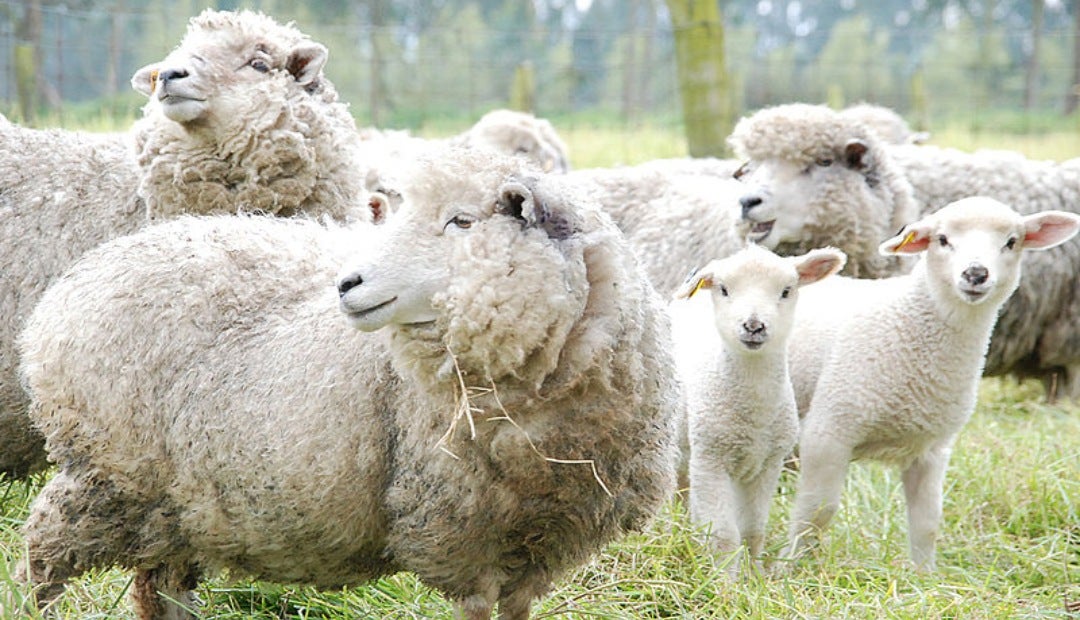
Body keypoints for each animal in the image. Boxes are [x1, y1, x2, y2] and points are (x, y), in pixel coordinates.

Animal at [14, 149, 673, 620]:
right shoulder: (459, 528)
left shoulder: (543, 537)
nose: (347, 282)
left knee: (161, 585)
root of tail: (75, 283)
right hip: (108, 472)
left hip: (175, 504)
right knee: (42, 554)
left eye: (461, 221)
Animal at [669, 244, 846, 578]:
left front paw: (754, 575)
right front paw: (723, 581)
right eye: (724, 289)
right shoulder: (712, 459)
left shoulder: (767, 464)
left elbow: (753, 529)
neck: (755, 415)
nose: (753, 325)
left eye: (786, 291)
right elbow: (723, 533)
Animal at [786, 198, 1080, 574]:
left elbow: (927, 522)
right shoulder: (828, 431)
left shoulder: (931, 448)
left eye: (1012, 242)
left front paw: (924, 576)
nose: (975, 274)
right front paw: (791, 567)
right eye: (942, 239)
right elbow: (816, 511)